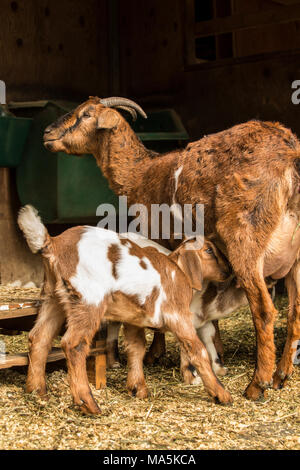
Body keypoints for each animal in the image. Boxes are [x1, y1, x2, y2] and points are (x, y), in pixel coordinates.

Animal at [44, 96, 300, 400]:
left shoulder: (160, 238)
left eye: (85, 114)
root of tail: (290, 156)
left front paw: (169, 358)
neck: (141, 173)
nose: (47, 134)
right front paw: (215, 357)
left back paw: (257, 384)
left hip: (246, 237)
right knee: (295, 309)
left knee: (263, 309)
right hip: (296, 256)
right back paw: (281, 375)